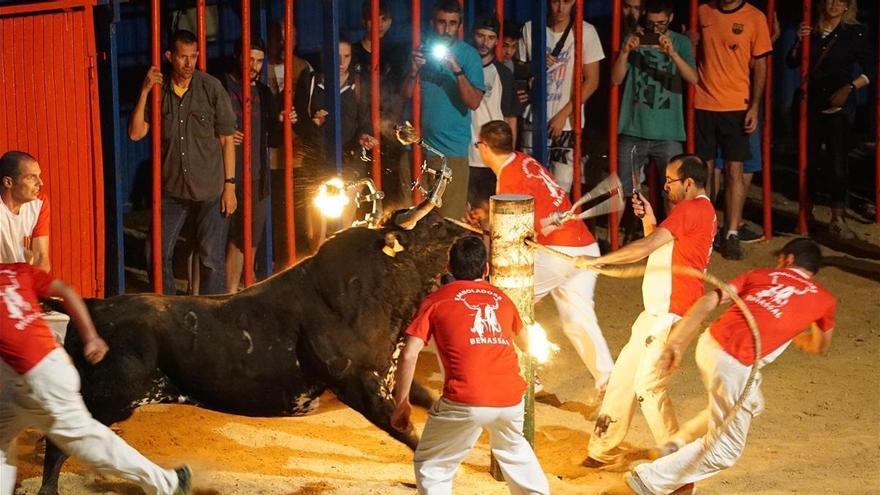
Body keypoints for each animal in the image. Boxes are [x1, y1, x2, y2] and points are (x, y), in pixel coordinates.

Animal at [38, 213, 470, 495]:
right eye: (436, 226)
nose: (471, 230)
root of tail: (94, 305)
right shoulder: (358, 383)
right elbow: (408, 432)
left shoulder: (387, 379)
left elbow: (425, 402)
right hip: (106, 399)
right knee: (60, 443)